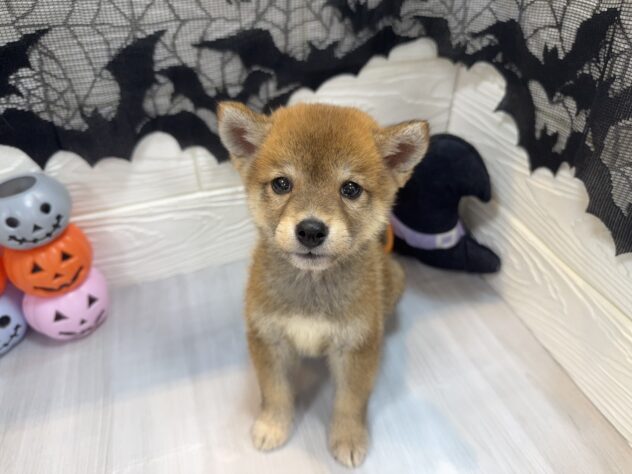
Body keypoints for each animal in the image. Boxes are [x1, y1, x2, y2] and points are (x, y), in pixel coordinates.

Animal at [217, 102, 429, 468]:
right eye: (282, 183)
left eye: (350, 189)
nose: (311, 230)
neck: (311, 290)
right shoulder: (268, 339)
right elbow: (274, 393)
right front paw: (273, 426)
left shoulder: (355, 349)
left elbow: (349, 402)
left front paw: (348, 438)